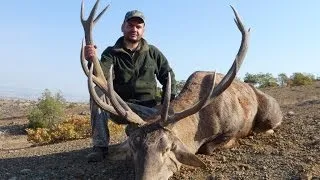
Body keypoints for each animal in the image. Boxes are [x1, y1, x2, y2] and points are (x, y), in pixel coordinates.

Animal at [80, 0, 282, 179]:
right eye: (133, 148)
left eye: (167, 148)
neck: (204, 125)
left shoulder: (232, 129)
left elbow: (208, 147)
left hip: (271, 112)